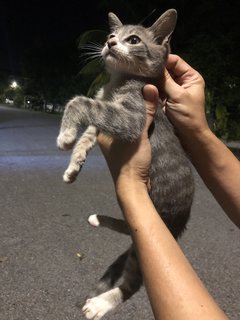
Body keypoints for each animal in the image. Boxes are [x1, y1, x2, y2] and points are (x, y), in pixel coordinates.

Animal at [57, 8, 194, 318]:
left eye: (133, 40)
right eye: (110, 34)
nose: (109, 43)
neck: (118, 82)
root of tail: (181, 222)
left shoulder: (132, 117)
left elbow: (80, 102)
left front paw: (65, 136)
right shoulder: (105, 116)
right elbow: (89, 132)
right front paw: (73, 165)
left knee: (133, 283)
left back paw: (101, 303)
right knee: (129, 228)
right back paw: (98, 219)